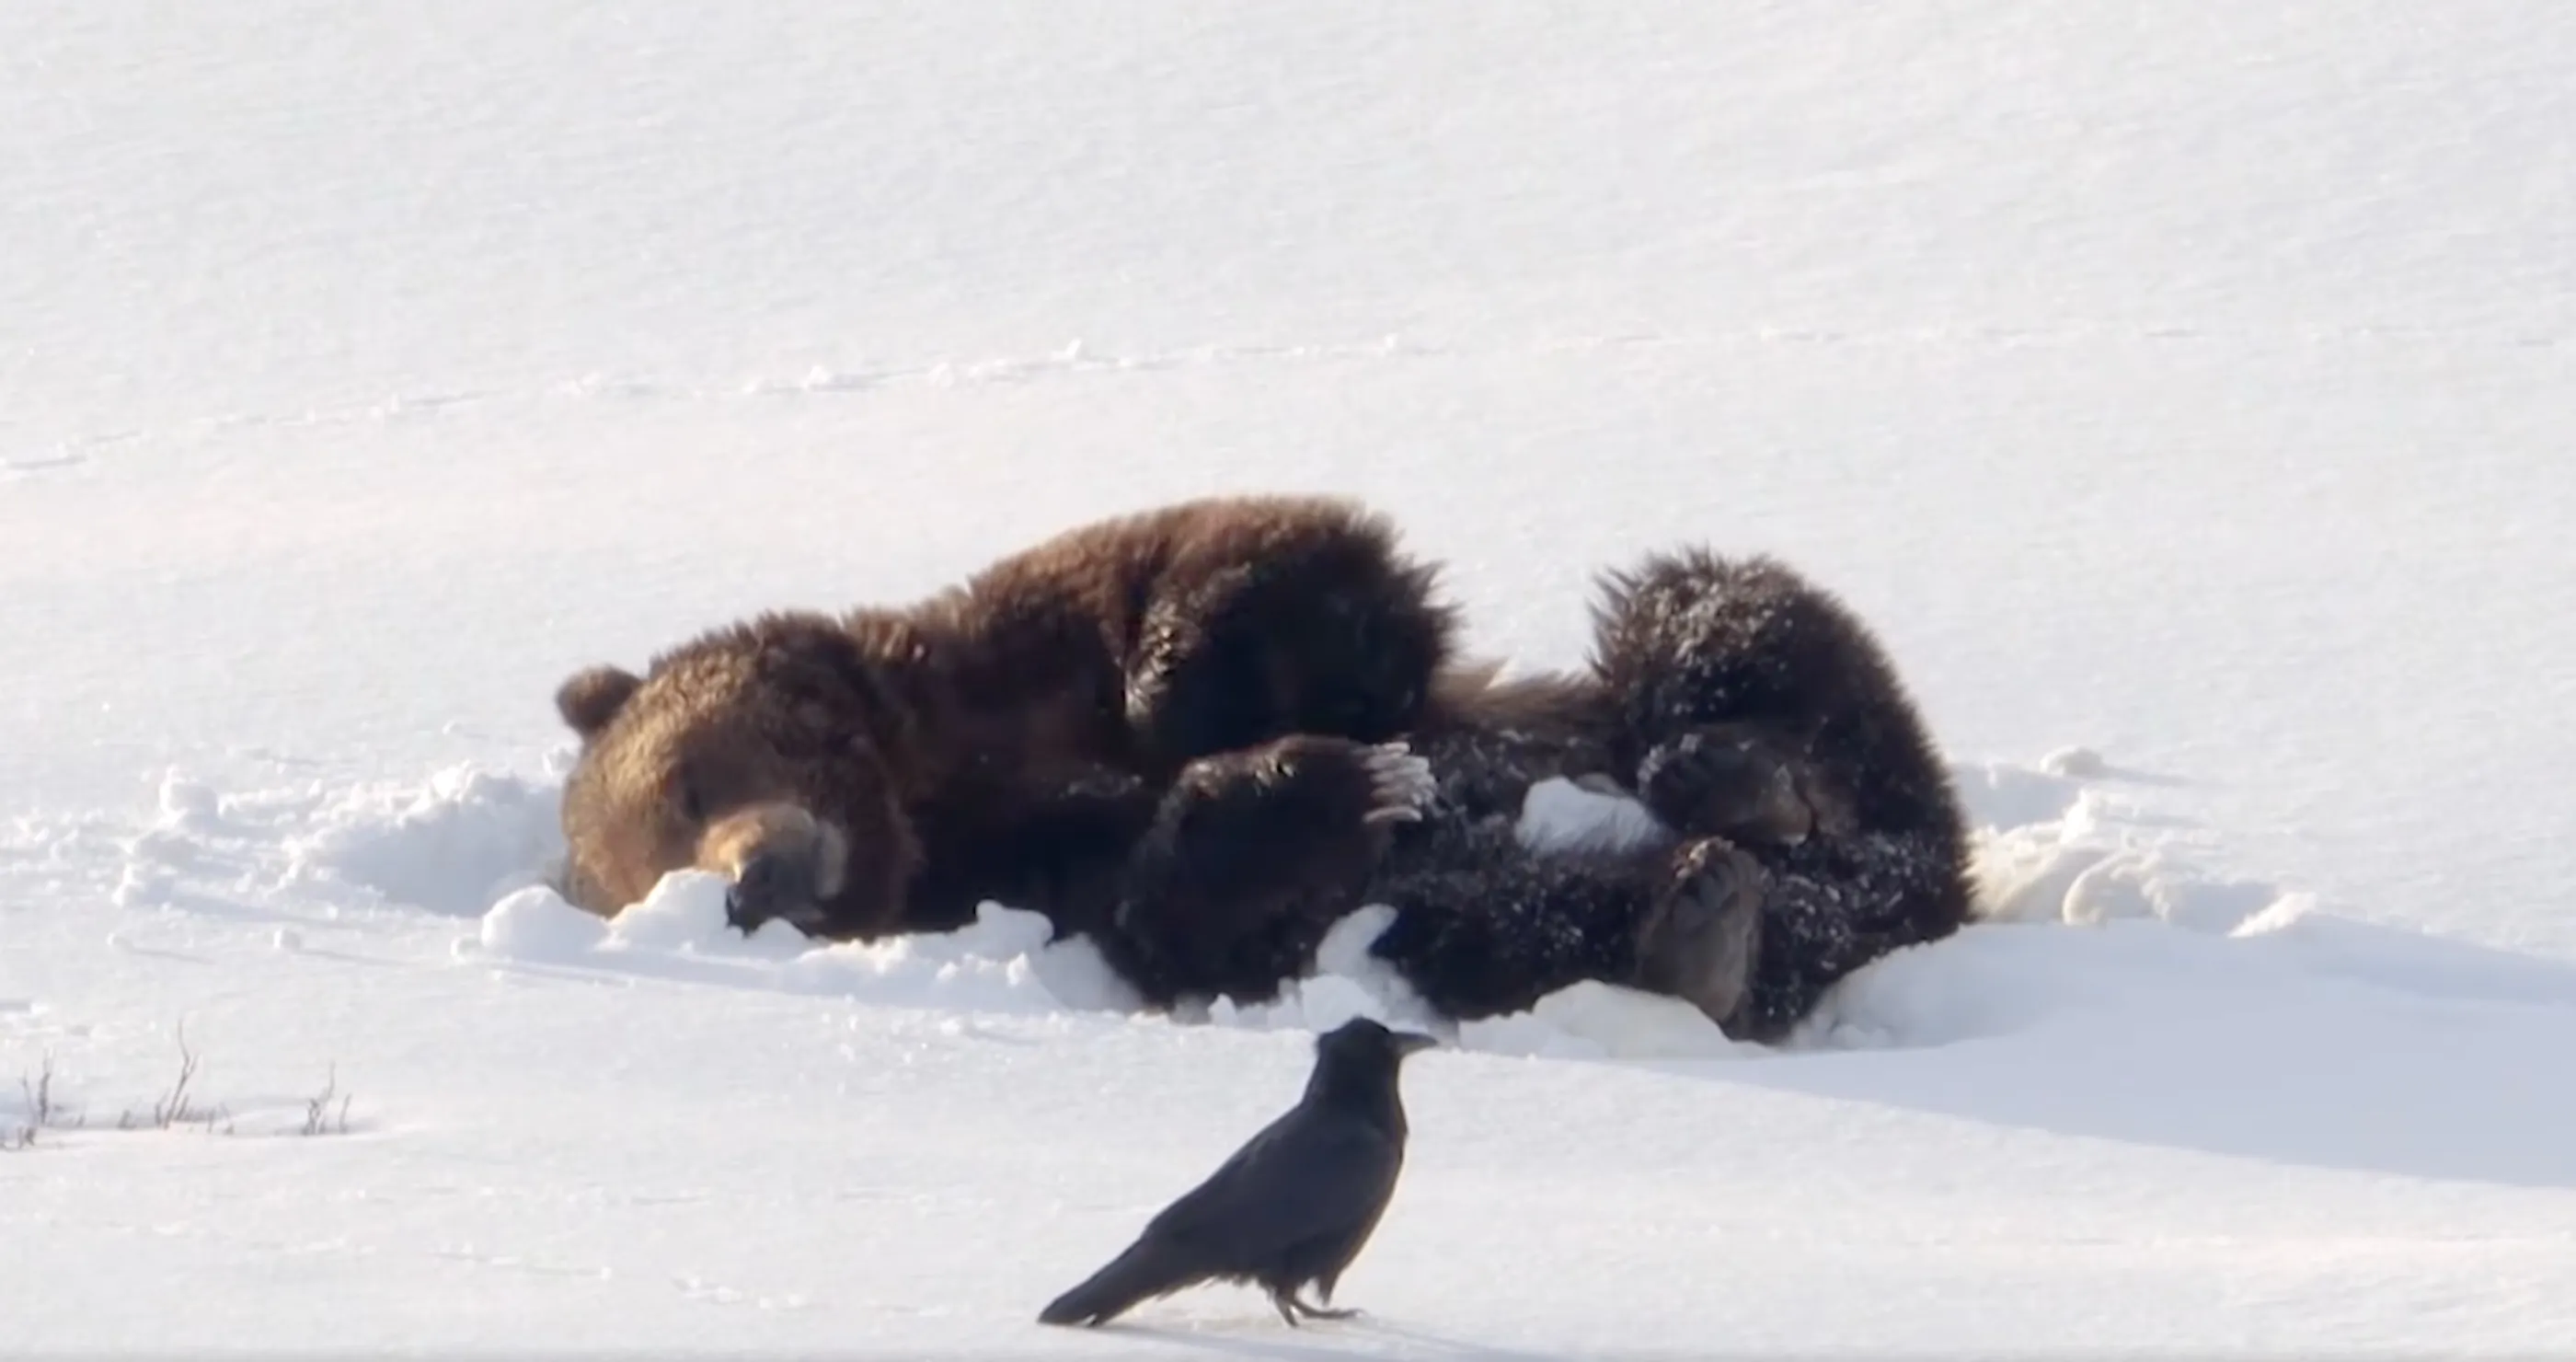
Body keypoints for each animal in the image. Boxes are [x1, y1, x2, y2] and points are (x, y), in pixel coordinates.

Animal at [554, 494, 1978, 1045]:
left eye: (685, 785)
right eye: (654, 877)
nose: (752, 883)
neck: (920, 781)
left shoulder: (1027, 636)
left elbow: (1270, 564)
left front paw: (1214, 701)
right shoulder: (1029, 874)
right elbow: (1178, 907)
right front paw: (1342, 783)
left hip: (1731, 673)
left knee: (1718, 622)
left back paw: (1734, 769)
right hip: (1497, 920)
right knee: (1526, 921)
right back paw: (1705, 918)